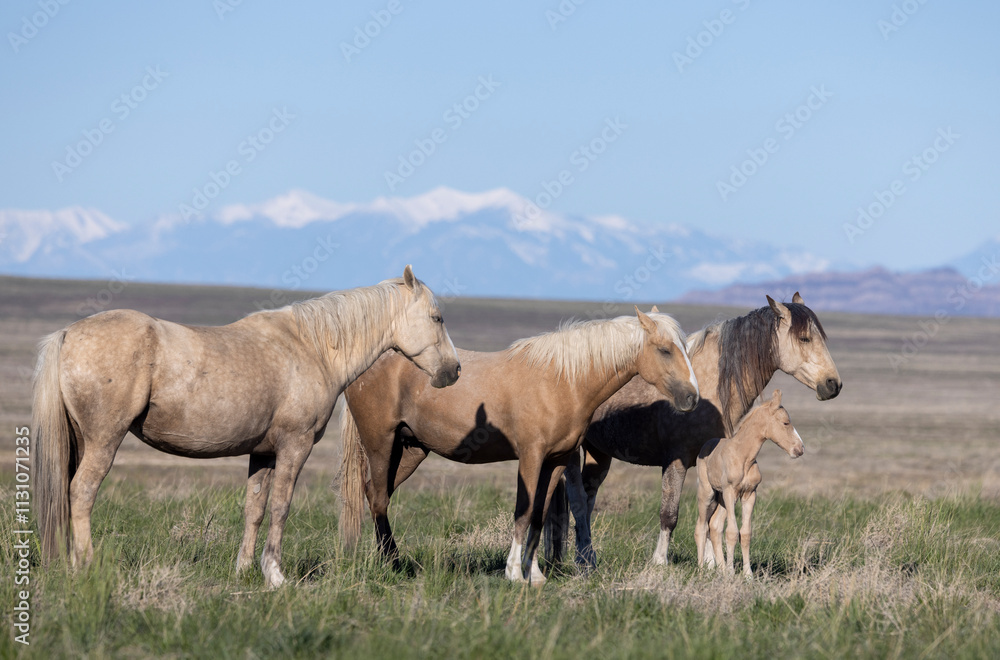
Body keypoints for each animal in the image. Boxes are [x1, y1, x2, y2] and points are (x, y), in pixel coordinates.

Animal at [32, 265, 461, 588]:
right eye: (437, 318)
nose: (454, 371)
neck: (312, 347)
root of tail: (67, 334)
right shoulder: (294, 447)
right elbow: (281, 507)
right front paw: (275, 575)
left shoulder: (263, 452)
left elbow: (254, 508)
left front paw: (243, 570)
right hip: (103, 441)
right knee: (81, 493)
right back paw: (86, 567)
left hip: (81, 442)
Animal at [338, 308, 699, 585]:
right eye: (665, 350)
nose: (692, 397)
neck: (562, 381)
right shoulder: (531, 457)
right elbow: (523, 511)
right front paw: (513, 572)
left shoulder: (556, 460)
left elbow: (539, 515)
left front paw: (534, 573)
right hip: (381, 443)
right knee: (379, 498)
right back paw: (392, 563)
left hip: (412, 450)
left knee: (375, 494)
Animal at [694, 389, 803, 577]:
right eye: (785, 422)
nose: (800, 449)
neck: (743, 456)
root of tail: (706, 446)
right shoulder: (731, 492)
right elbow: (732, 532)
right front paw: (731, 573)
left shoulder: (749, 494)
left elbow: (745, 533)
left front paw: (747, 575)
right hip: (708, 493)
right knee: (701, 527)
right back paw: (702, 569)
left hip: (722, 498)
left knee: (715, 526)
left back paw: (721, 569)